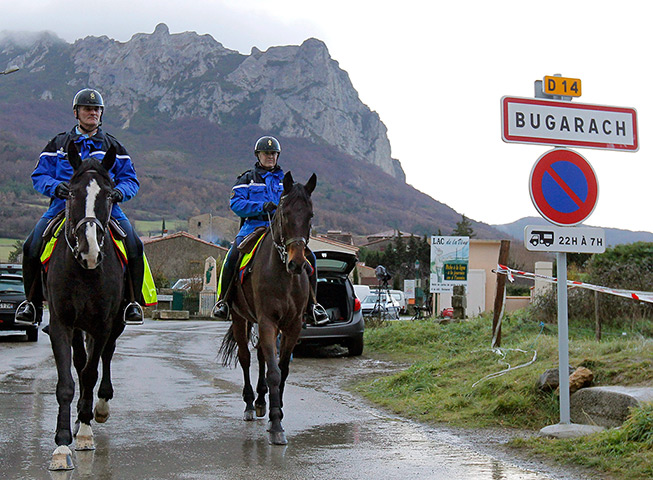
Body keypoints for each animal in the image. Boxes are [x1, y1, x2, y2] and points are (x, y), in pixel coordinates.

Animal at [220, 171, 318, 444]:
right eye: (284, 213)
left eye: (310, 215)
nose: (297, 263)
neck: (283, 275)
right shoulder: (267, 321)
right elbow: (273, 371)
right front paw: (276, 425)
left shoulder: (292, 325)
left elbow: (281, 370)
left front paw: (278, 410)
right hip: (240, 319)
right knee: (245, 358)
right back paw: (250, 404)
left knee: (262, 356)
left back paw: (262, 401)